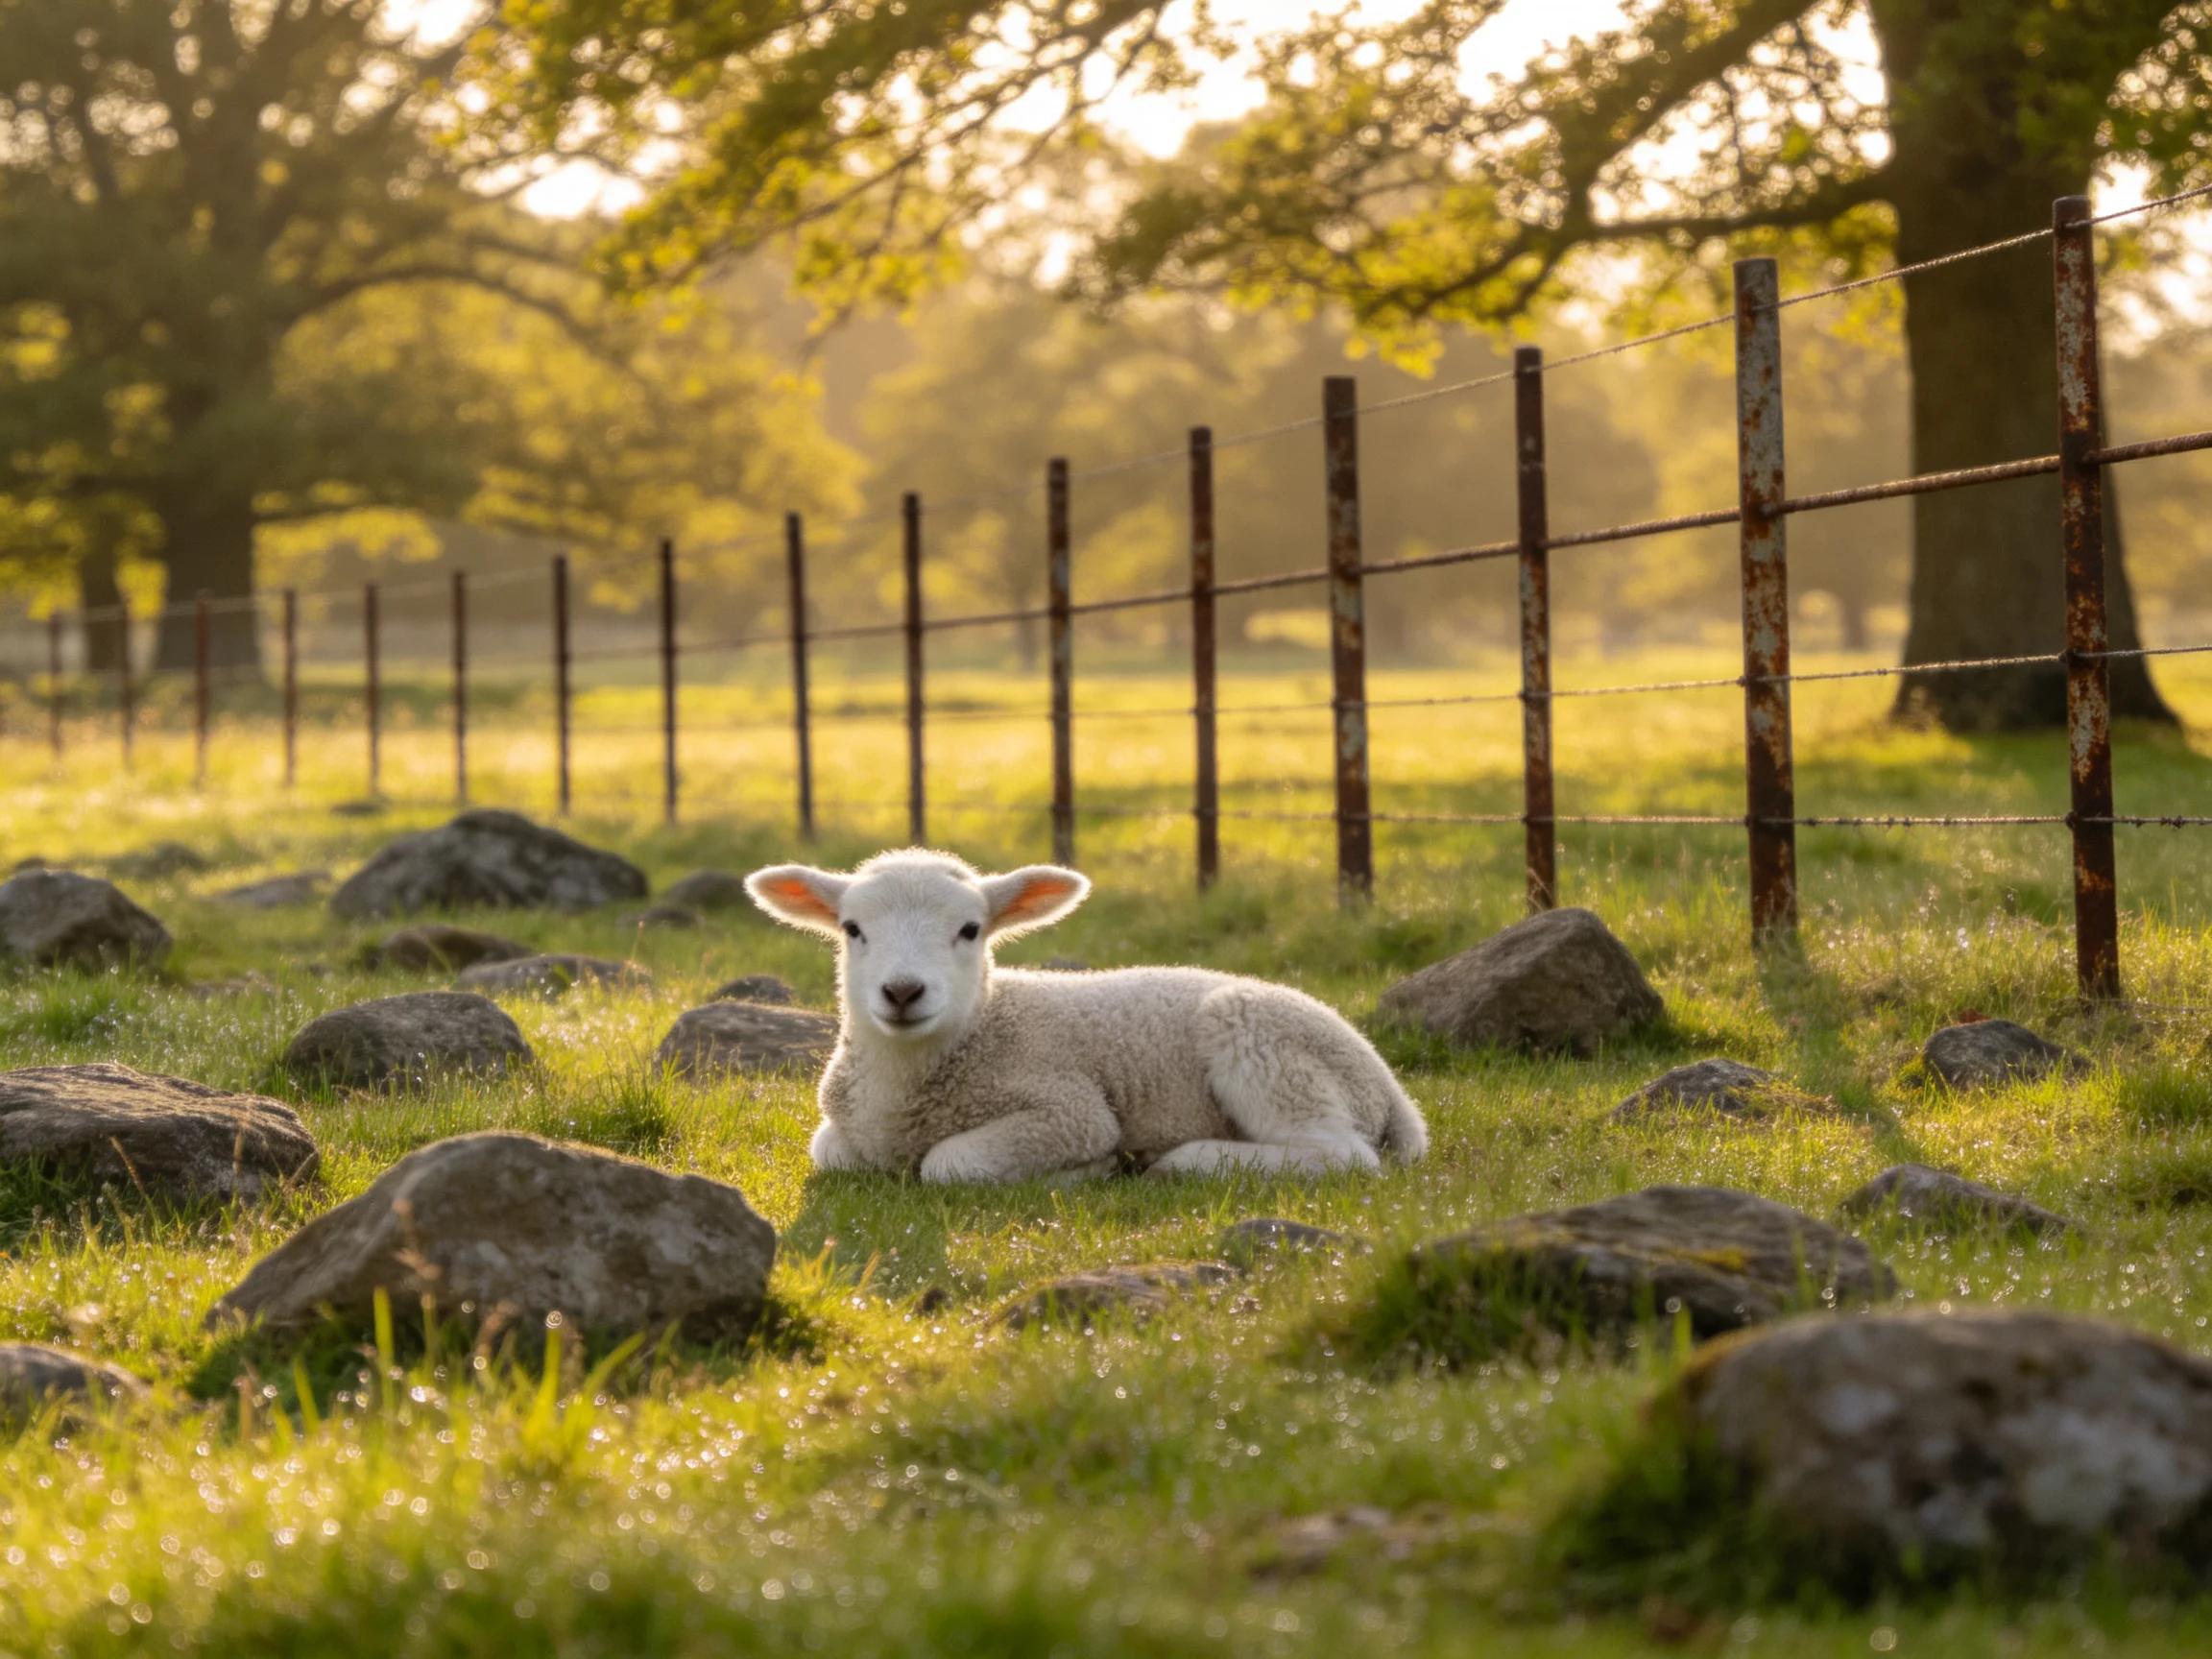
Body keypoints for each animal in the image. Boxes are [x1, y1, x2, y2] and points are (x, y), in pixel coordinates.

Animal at [744, 849, 1428, 1183]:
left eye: (970, 930)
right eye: (852, 929)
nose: (903, 992)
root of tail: (1391, 1089)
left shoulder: (1068, 1111)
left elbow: (950, 1164)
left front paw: (1089, 1171)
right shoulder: (843, 1130)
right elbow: (831, 1150)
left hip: (1262, 1042)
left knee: (1340, 1155)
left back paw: (1186, 1161)